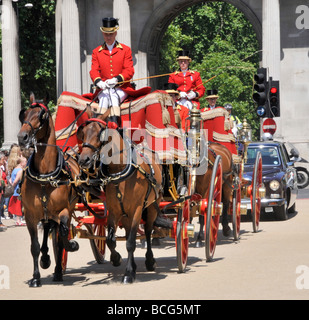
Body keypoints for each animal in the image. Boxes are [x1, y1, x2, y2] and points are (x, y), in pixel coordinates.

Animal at [17, 95, 80, 288]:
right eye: (24, 114)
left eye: (41, 115)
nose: (22, 137)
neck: (45, 175)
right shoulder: (30, 215)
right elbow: (35, 247)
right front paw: (36, 277)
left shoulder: (64, 211)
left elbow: (63, 237)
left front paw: (71, 245)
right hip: (44, 213)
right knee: (46, 229)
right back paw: (46, 258)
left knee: (58, 234)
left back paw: (58, 270)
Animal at [76, 109, 164, 284]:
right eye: (83, 133)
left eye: (100, 134)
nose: (83, 160)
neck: (120, 170)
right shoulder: (114, 211)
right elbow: (111, 240)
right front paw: (116, 259)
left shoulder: (137, 209)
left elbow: (130, 242)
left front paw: (128, 273)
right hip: (126, 214)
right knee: (130, 230)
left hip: (151, 207)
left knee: (148, 231)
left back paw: (150, 261)